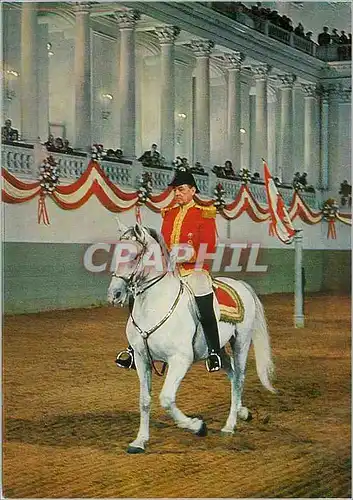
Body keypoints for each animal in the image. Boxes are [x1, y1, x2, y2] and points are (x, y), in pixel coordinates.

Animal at [107, 222, 276, 454]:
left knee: (240, 378)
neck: (155, 304)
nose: (114, 295)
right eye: (116, 253)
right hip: (218, 349)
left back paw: (230, 425)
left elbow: (166, 399)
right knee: (232, 374)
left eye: (134, 256)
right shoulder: (142, 360)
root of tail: (240, 285)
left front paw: (197, 426)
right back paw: (242, 412)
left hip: (241, 342)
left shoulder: (180, 360)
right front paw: (139, 441)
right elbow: (144, 400)